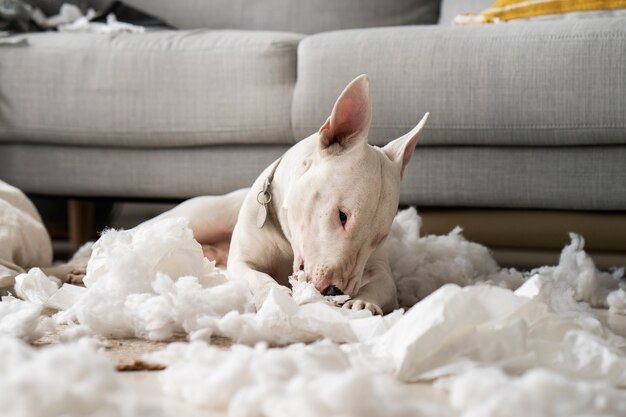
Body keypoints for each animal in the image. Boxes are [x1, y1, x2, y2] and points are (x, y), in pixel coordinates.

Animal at [149, 75, 426, 316]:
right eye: (342, 216)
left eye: (379, 238)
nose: (336, 291)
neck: (287, 241)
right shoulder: (241, 262)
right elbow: (255, 275)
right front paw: (274, 293)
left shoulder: (381, 272)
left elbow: (383, 284)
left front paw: (363, 303)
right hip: (201, 218)